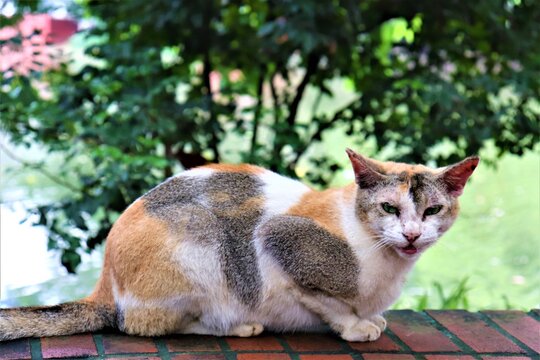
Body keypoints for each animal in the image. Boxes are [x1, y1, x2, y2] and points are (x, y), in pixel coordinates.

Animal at [0, 148, 480, 342]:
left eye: (432, 211)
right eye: (388, 207)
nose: (412, 234)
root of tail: (104, 283)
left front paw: (372, 318)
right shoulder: (279, 240)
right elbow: (328, 302)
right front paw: (355, 326)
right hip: (200, 244)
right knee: (143, 325)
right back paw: (234, 326)